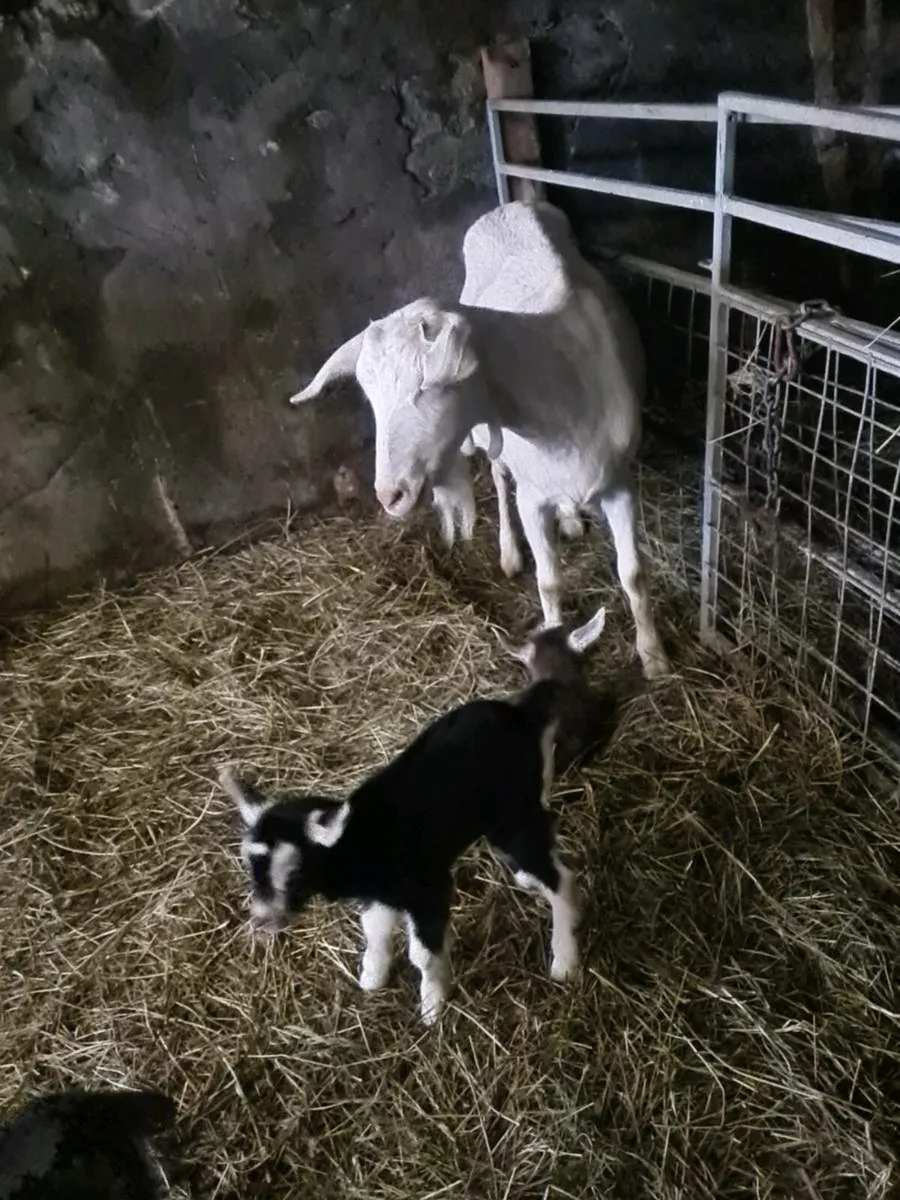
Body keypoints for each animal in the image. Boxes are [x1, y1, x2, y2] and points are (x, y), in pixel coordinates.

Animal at [217, 612, 607, 1026]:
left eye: (293, 871)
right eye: (250, 866)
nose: (261, 920)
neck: (362, 840)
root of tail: (522, 711)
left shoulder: (429, 888)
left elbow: (421, 953)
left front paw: (433, 1006)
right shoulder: (379, 896)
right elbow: (374, 931)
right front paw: (372, 976)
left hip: (512, 818)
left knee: (559, 876)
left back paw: (564, 958)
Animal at [289, 199, 670, 680]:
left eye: (427, 386)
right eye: (370, 394)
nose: (390, 495)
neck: (562, 387)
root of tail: (513, 206)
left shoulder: (620, 483)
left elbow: (633, 574)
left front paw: (654, 656)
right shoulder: (531, 495)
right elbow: (549, 581)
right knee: (500, 479)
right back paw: (509, 553)